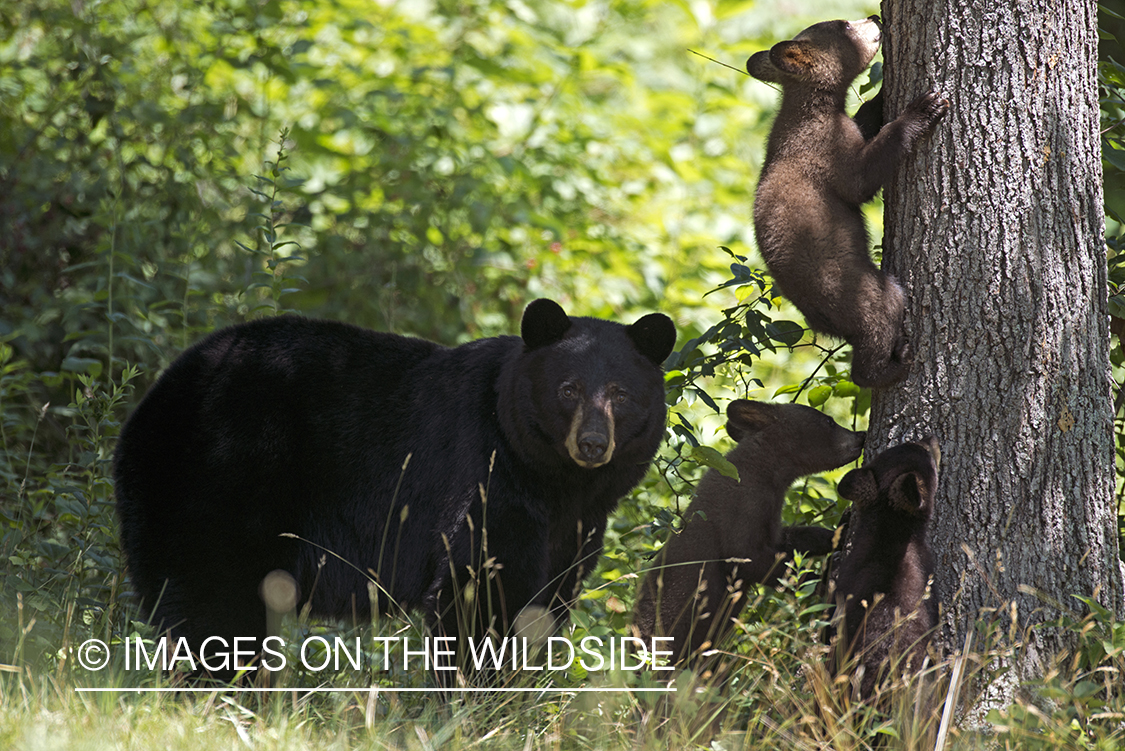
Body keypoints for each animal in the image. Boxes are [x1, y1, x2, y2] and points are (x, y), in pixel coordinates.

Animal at [115, 299, 670, 674]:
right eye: (569, 389)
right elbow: (480, 588)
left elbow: (548, 600)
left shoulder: (575, 524)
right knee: (214, 599)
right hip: (224, 476)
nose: (593, 443)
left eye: (621, 393)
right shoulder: (484, 478)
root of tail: (160, 392)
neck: (554, 480)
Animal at [634, 402, 859, 665]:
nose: (861, 435)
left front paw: (840, 530)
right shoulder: (740, 507)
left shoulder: (770, 517)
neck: (768, 474)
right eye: (829, 422)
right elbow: (751, 559)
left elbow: (789, 540)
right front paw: (824, 577)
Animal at [747, 19, 949, 386]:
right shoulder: (824, 146)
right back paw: (892, 365)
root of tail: (820, 322)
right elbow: (861, 178)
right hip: (859, 290)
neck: (811, 106)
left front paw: (881, 95)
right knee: (879, 322)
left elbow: (865, 120)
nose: (875, 17)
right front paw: (922, 109)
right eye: (843, 25)